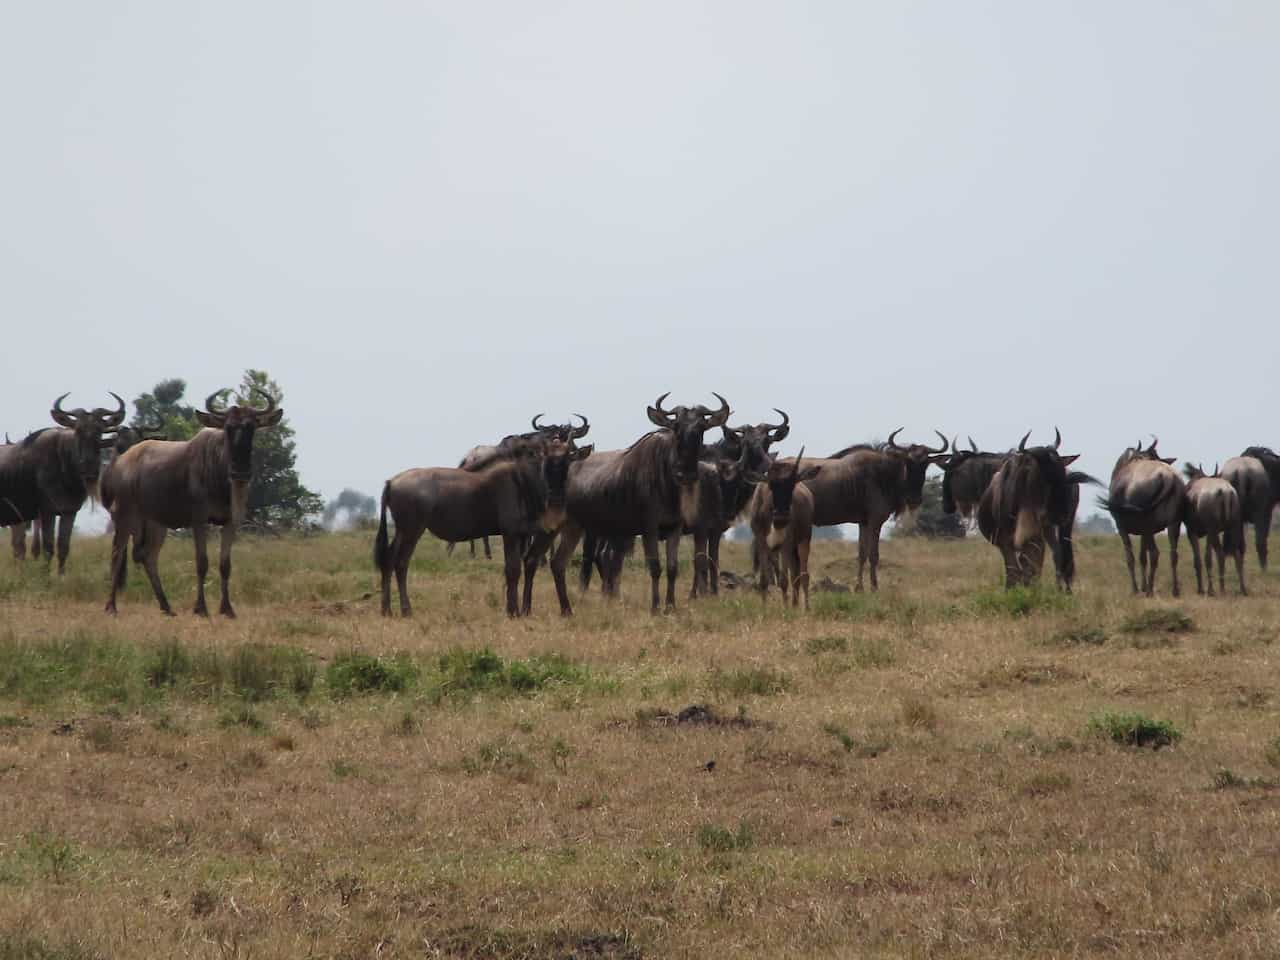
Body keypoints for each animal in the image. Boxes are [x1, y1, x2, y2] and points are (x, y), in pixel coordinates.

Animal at [373, 442, 588, 619]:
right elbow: (512, 569)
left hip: (402, 531)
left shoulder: (521, 535)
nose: (556, 497)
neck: (522, 481)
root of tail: (391, 481)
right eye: (546, 462)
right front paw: (512, 612)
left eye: (567, 462)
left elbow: (517, 569)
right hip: (412, 531)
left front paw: (516, 609)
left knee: (389, 560)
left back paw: (386, 610)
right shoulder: (510, 533)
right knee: (401, 563)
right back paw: (406, 610)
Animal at [747, 450, 824, 609]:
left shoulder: (786, 544)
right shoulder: (761, 541)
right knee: (795, 574)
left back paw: (804, 607)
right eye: (771, 484)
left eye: (792, 484)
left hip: (802, 541)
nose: (781, 517)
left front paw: (786, 608)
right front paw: (764, 608)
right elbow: (764, 579)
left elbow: (784, 580)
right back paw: (794, 604)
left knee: (802, 574)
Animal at [1182, 463, 1244, 599]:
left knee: (1215, 556)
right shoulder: (1209, 532)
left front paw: (1201, 589)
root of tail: (1226, 492)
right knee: (1236, 555)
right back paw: (1241, 589)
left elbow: (1198, 559)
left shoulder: (1192, 531)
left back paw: (1217, 590)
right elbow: (1210, 556)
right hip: (1233, 527)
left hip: (1213, 530)